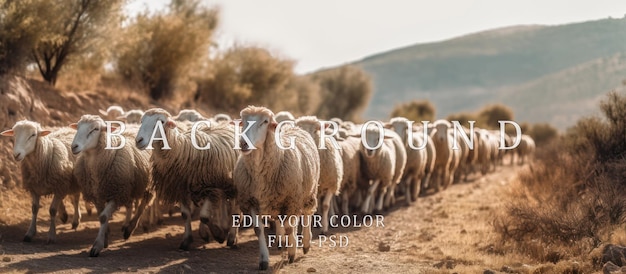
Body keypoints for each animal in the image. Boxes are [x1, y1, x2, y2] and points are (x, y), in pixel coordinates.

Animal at [70, 114, 153, 256]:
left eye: (95, 129)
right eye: (78, 127)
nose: (74, 146)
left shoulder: (116, 194)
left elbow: (103, 217)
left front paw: (97, 246)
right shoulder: (98, 195)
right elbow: (101, 215)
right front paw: (105, 238)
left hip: (146, 185)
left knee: (143, 204)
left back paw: (129, 228)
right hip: (128, 187)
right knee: (131, 204)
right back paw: (126, 225)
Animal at [135, 108, 240, 249]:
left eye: (161, 121)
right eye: (142, 121)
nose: (139, 140)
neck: (181, 150)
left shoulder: (209, 187)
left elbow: (204, 216)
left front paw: (218, 235)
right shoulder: (181, 187)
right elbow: (185, 215)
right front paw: (187, 240)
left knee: (236, 210)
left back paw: (232, 237)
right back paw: (223, 226)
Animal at [235, 105, 322, 270]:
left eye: (265, 121)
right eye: (242, 121)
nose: (243, 143)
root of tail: (292, 127)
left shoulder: (291, 199)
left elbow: (290, 227)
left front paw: (292, 253)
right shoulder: (252, 201)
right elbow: (258, 229)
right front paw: (264, 260)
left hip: (307, 191)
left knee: (306, 215)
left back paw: (305, 243)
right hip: (280, 200)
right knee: (282, 221)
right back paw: (282, 241)